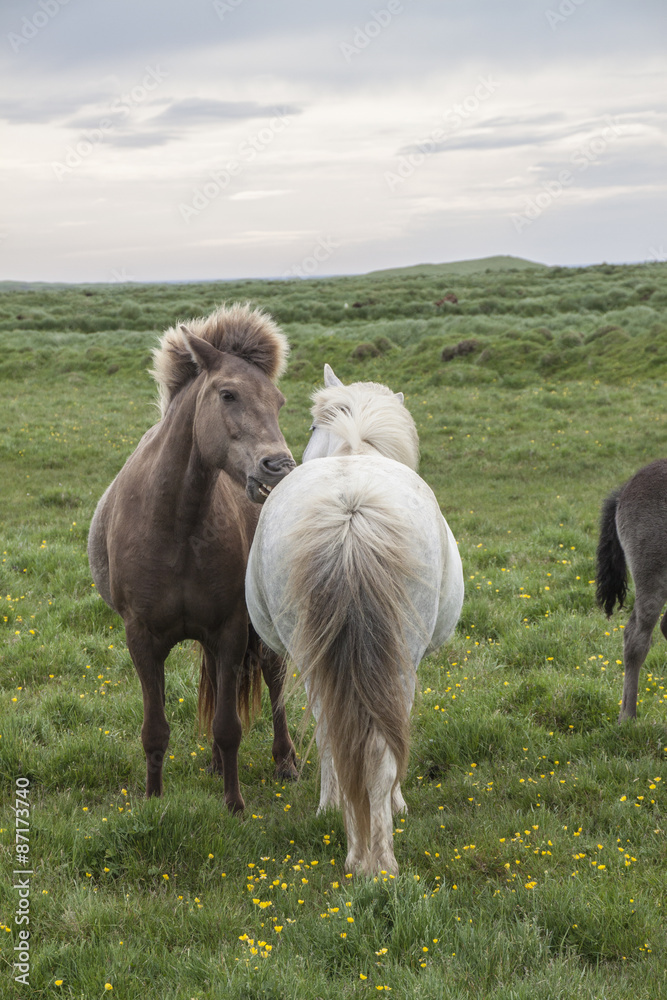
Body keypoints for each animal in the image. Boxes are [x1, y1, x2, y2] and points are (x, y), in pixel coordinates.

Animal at [88, 304, 298, 809]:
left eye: (278, 401)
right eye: (228, 394)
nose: (279, 468)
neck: (175, 526)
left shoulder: (230, 630)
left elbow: (228, 726)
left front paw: (235, 804)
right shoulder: (142, 637)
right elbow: (155, 729)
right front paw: (153, 800)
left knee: (273, 675)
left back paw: (285, 761)